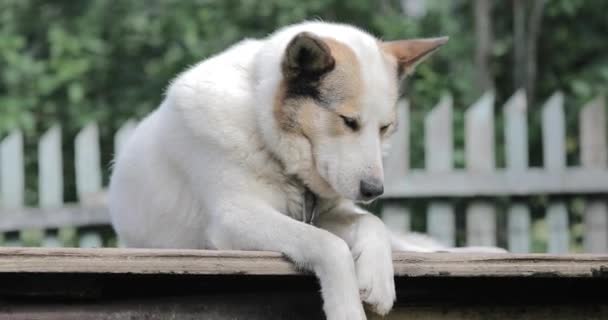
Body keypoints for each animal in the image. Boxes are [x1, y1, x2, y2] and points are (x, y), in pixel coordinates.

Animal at [109, 21, 504, 318]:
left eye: (385, 127)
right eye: (348, 122)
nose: (374, 191)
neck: (262, 128)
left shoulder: (327, 212)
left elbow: (371, 224)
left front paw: (377, 279)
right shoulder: (236, 218)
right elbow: (330, 245)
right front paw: (347, 309)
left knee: (412, 244)